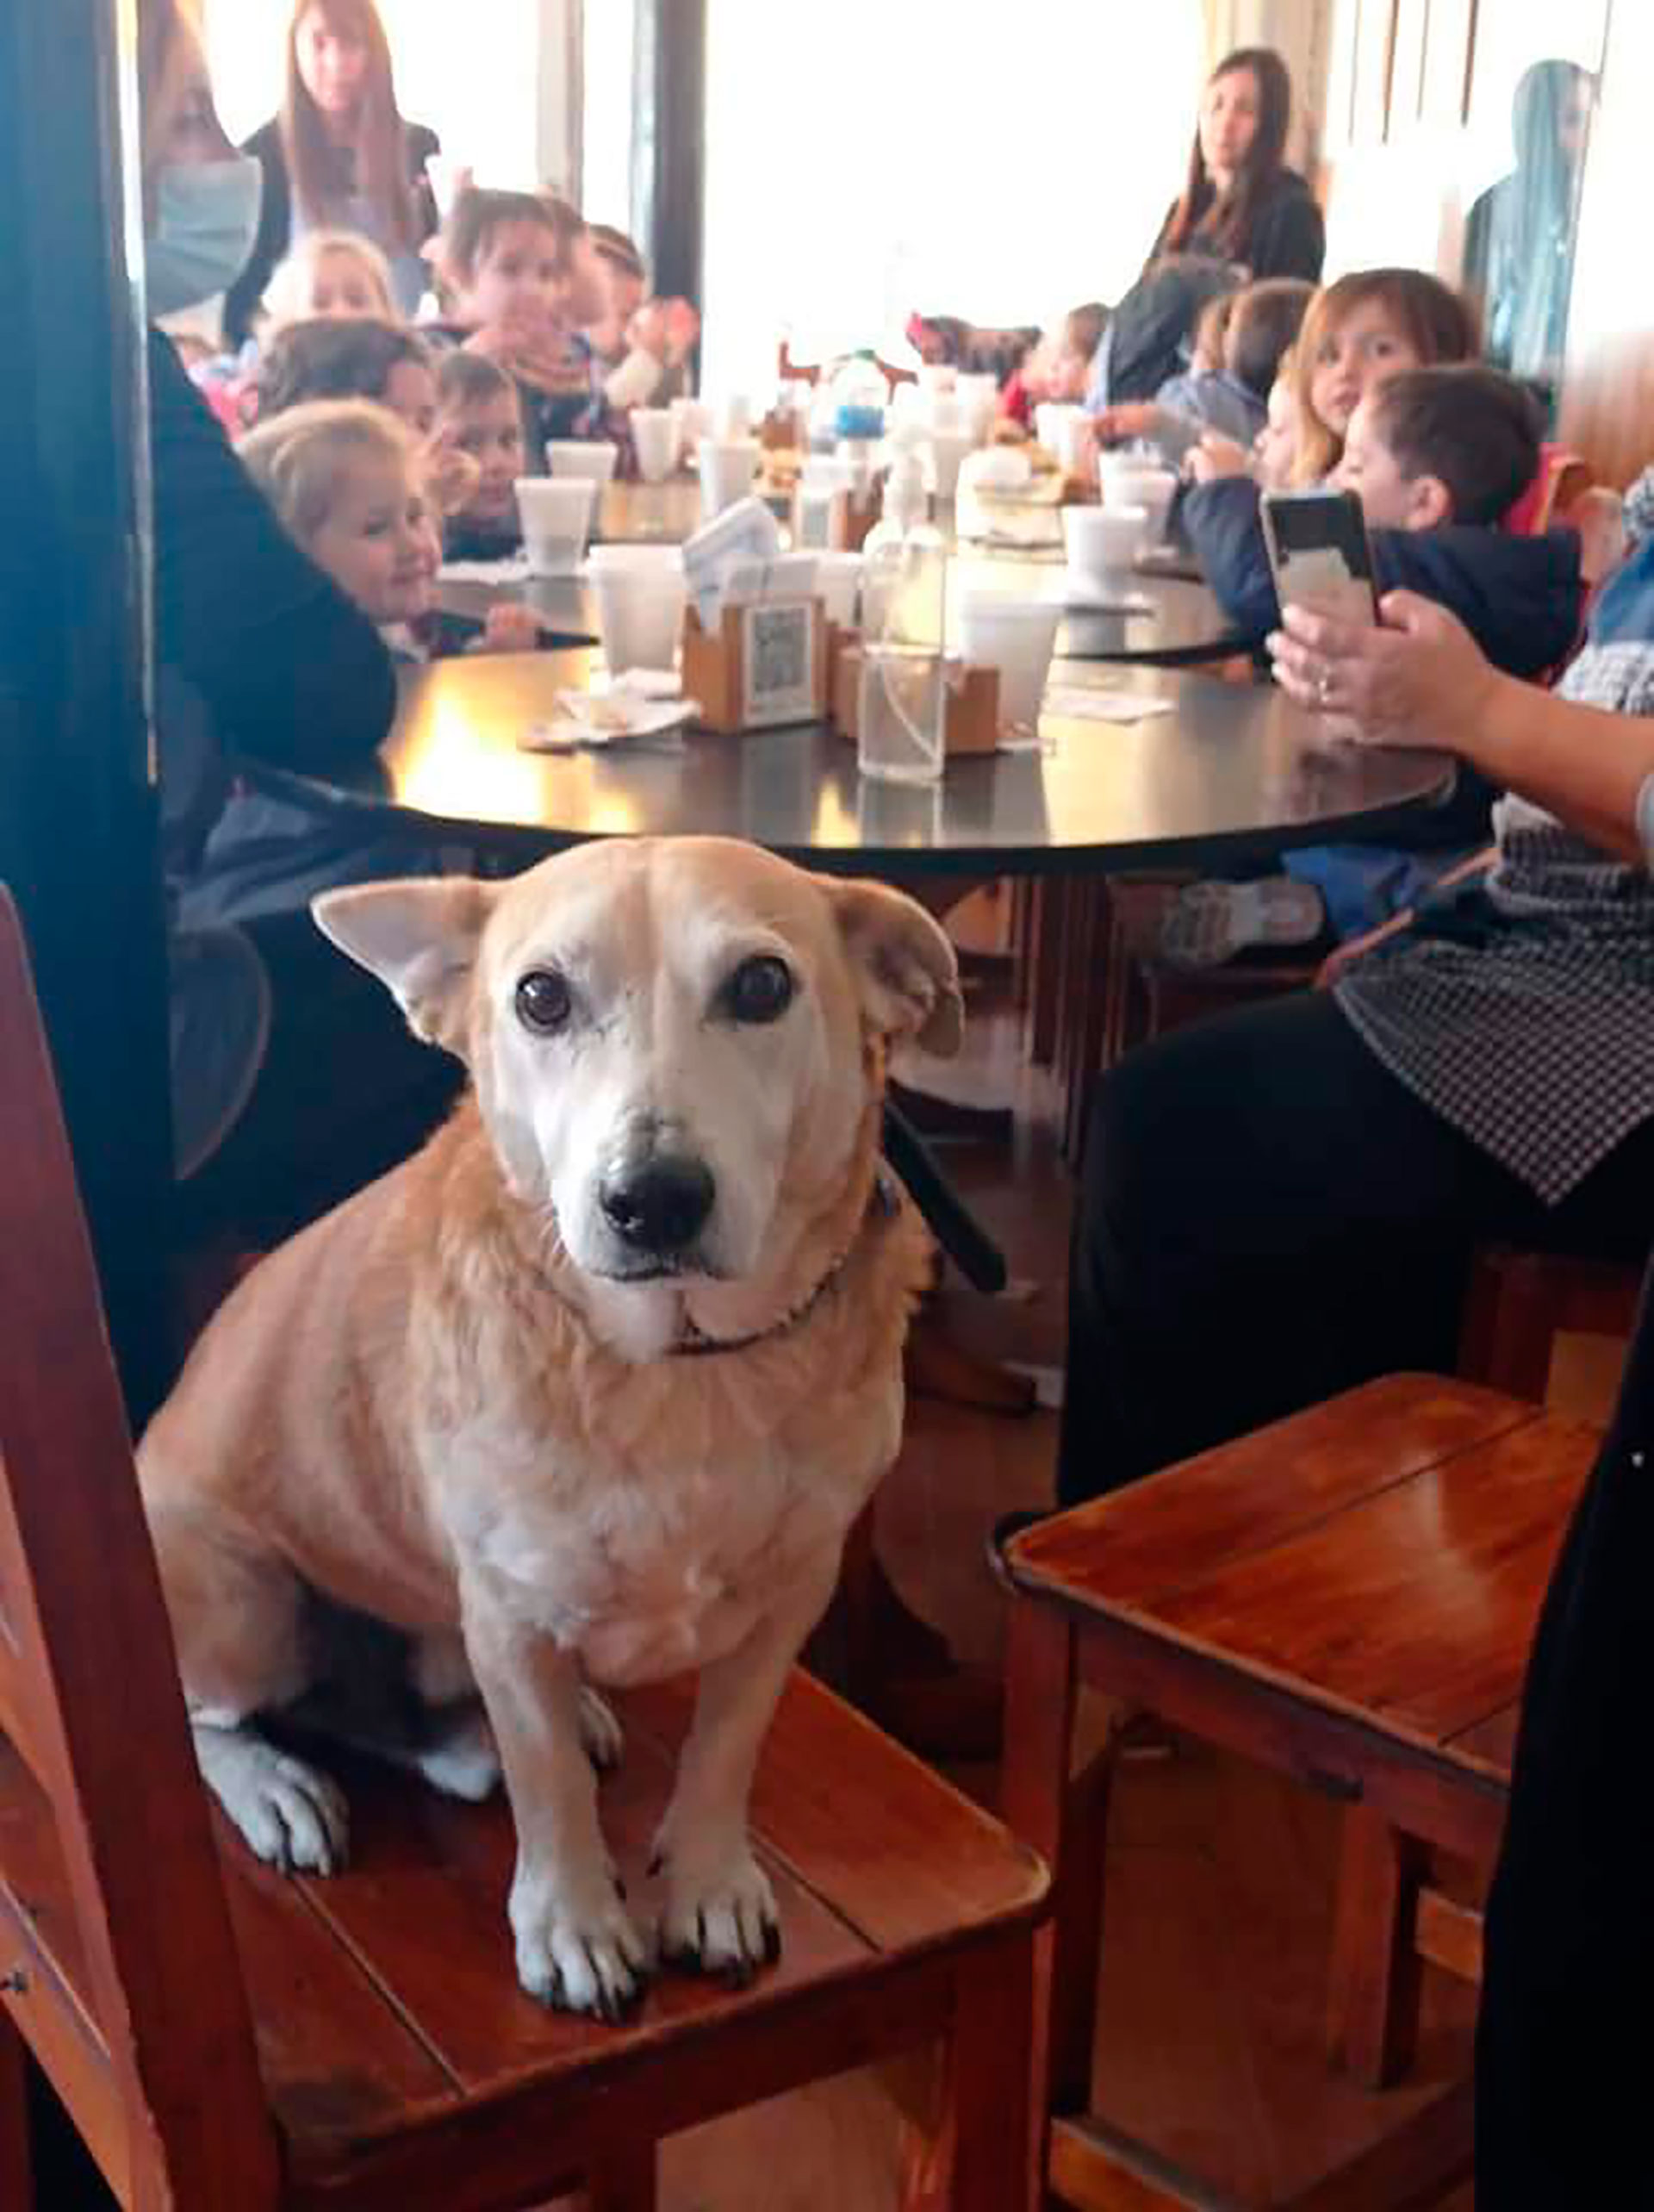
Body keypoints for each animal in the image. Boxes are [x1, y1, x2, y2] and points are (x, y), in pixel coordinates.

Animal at [147, 836, 964, 2017]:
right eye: (540, 996)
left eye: (763, 983)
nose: (653, 1197)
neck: (680, 1366)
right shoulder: (507, 1611)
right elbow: (550, 1793)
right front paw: (575, 1923)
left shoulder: (790, 1594)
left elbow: (725, 1748)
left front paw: (707, 1882)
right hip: (245, 1600)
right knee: (206, 1713)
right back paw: (276, 1784)